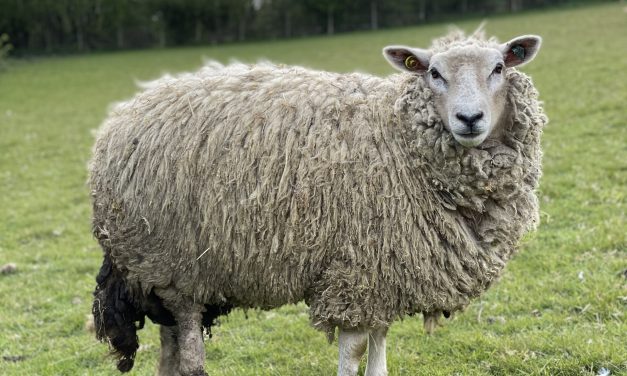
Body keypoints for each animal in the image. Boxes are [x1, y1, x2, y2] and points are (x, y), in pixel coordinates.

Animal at [89, 30, 548, 376]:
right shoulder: (356, 270)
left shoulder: (383, 273)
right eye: (434, 73)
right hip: (174, 266)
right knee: (188, 354)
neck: (400, 135)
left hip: (164, 275)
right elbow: (355, 351)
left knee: (168, 349)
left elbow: (378, 352)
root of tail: (122, 118)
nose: (469, 119)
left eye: (499, 68)